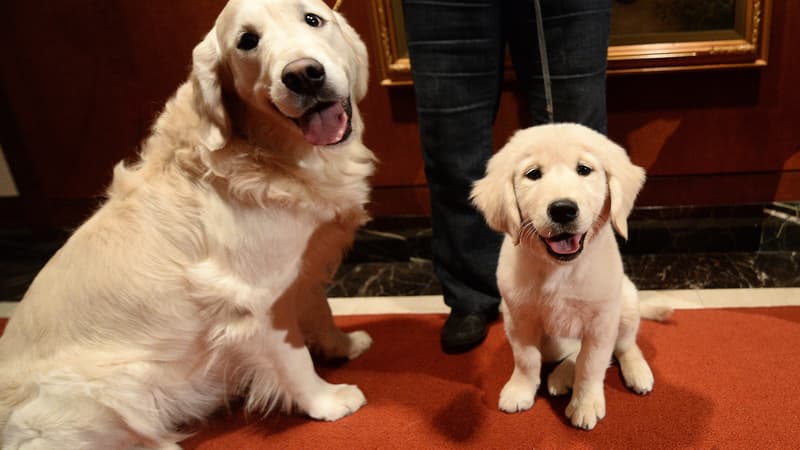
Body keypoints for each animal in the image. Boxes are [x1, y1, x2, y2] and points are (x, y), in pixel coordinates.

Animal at [0, 1, 376, 448]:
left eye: (313, 19)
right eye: (247, 41)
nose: (302, 74)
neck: (268, 153)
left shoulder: (300, 268)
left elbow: (321, 310)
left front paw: (343, 344)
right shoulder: (257, 297)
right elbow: (294, 357)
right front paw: (327, 401)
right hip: (107, 389)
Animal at [472, 122, 664, 428]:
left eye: (584, 169)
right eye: (533, 174)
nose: (563, 209)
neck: (560, 270)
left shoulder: (601, 323)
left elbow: (592, 364)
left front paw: (585, 403)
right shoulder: (518, 318)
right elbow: (526, 358)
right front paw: (520, 390)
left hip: (627, 302)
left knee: (624, 345)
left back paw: (637, 371)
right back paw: (562, 375)